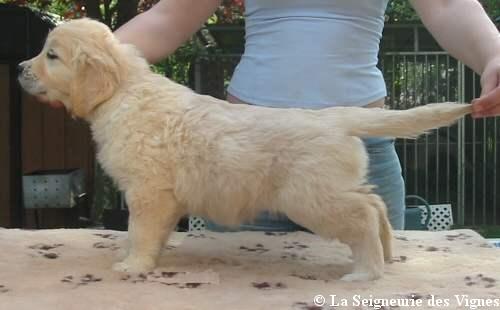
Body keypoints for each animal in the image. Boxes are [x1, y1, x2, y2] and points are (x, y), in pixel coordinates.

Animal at [18, 18, 472, 280]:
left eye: (51, 55)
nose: (20, 69)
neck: (124, 91)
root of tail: (334, 118)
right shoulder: (159, 197)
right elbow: (150, 233)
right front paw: (145, 256)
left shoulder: (147, 192)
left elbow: (141, 230)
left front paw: (134, 265)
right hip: (331, 187)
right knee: (375, 206)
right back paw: (387, 255)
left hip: (310, 196)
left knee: (361, 215)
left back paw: (366, 272)